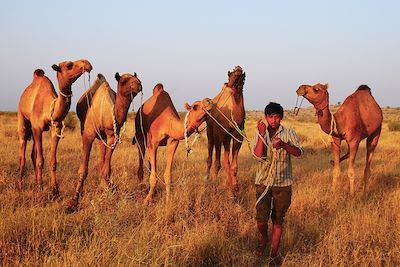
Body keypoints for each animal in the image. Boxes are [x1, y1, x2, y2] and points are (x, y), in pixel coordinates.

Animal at [17, 59, 92, 197]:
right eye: (69, 65)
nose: (87, 63)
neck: (49, 108)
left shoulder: (55, 128)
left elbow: (52, 162)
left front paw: (54, 190)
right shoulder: (37, 128)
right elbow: (40, 160)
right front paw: (40, 188)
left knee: (33, 154)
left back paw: (36, 180)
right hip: (22, 118)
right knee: (23, 153)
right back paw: (20, 184)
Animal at [67, 73, 144, 211]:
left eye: (136, 78)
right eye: (123, 81)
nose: (138, 84)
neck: (106, 113)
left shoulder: (112, 135)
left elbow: (106, 166)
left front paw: (108, 188)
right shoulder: (88, 134)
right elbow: (83, 170)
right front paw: (74, 201)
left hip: (102, 138)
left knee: (102, 159)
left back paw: (104, 186)